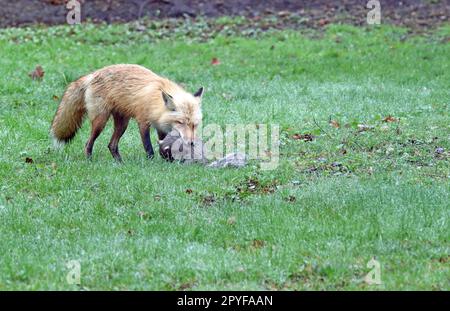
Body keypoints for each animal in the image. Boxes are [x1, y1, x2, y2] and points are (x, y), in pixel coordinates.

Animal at [50, 63, 203, 161]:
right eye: (181, 122)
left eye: (194, 125)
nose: (191, 143)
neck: (156, 101)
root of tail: (93, 74)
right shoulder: (143, 122)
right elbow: (148, 146)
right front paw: (151, 161)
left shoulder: (161, 126)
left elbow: (163, 145)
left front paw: (167, 159)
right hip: (101, 121)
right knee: (88, 143)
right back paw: (89, 160)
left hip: (122, 124)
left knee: (111, 145)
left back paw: (119, 162)